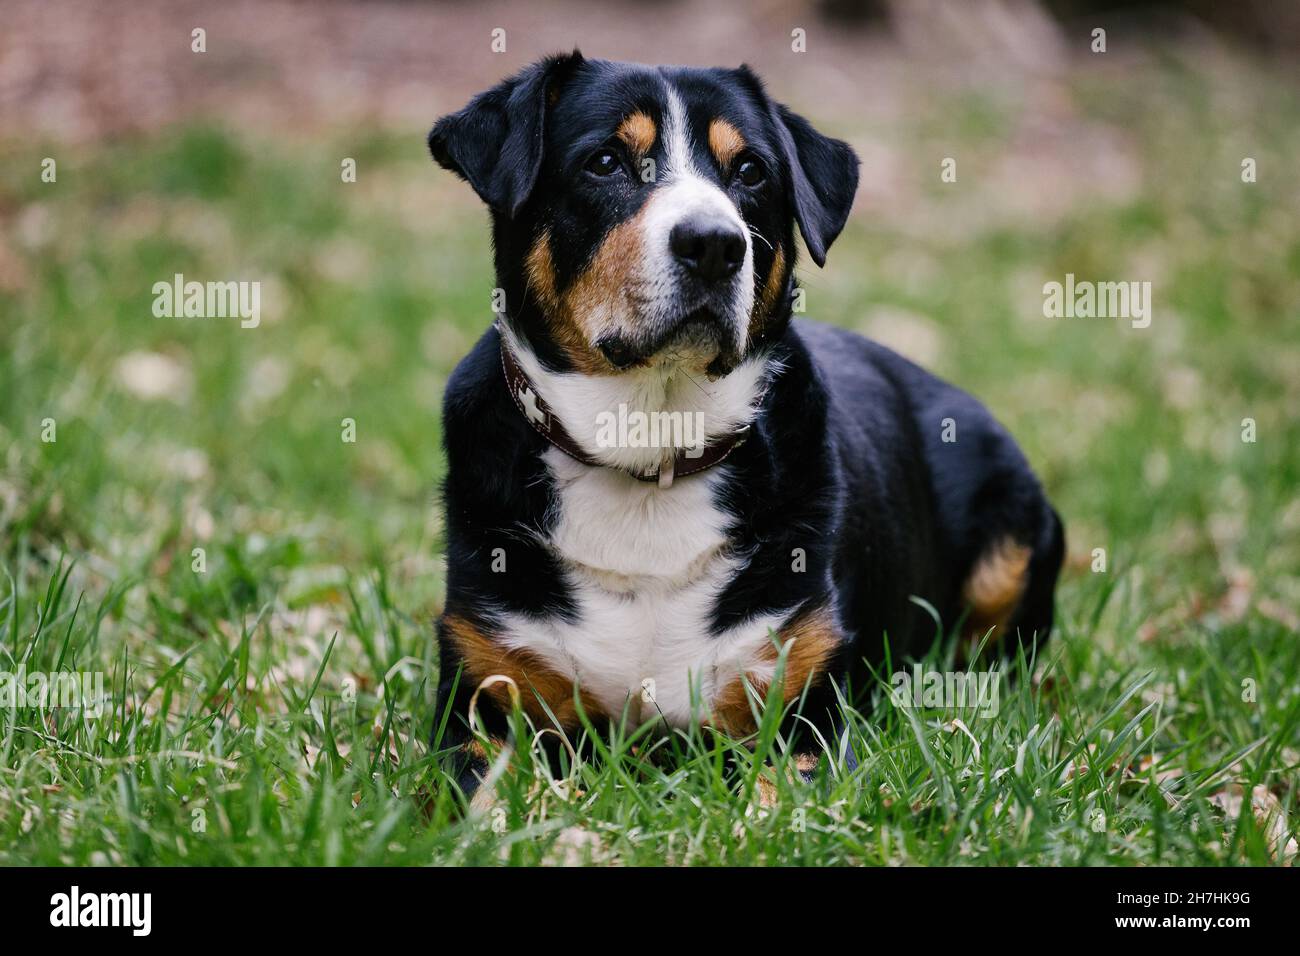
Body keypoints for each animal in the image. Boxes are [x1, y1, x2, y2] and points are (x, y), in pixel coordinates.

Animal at [431, 54, 1060, 801]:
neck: (651, 452)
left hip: (1013, 540)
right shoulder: (482, 695)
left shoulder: (803, 710)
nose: (713, 244)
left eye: (751, 171)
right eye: (606, 162)